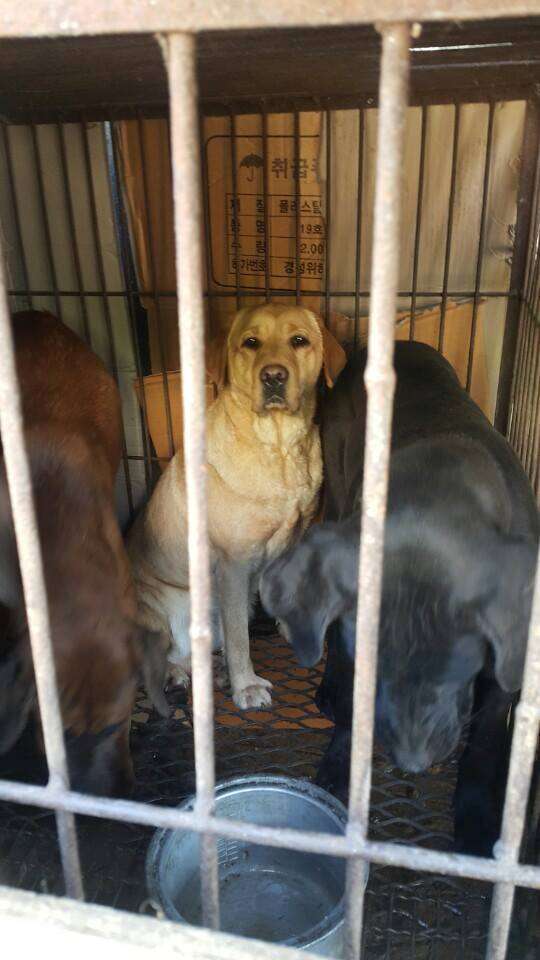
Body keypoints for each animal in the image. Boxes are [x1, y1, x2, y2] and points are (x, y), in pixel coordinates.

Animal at [129, 304, 344, 708]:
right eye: (250, 342)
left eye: (299, 340)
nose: (273, 376)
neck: (277, 446)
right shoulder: (234, 563)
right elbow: (240, 640)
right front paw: (246, 685)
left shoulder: (290, 542)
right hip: (166, 607)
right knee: (162, 654)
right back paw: (177, 675)